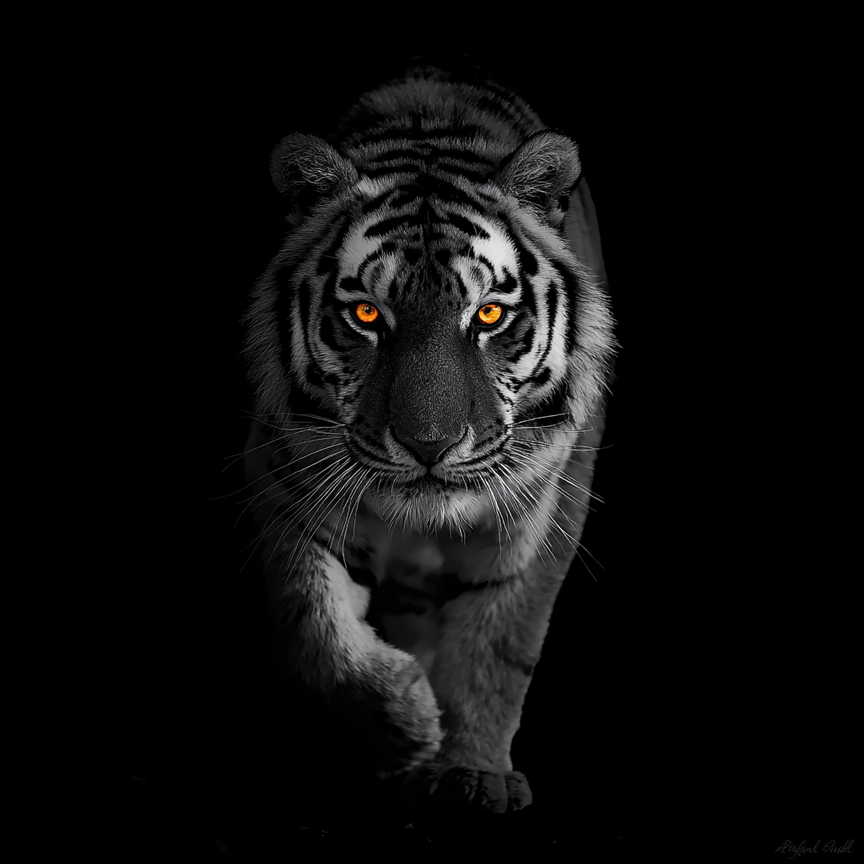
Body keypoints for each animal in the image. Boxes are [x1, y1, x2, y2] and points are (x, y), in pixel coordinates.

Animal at [241, 60, 617, 816]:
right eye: (365, 315)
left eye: (489, 315)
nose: (429, 446)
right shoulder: (289, 488)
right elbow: (313, 628)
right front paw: (405, 725)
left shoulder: (543, 509)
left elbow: (497, 642)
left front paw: (473, 771)